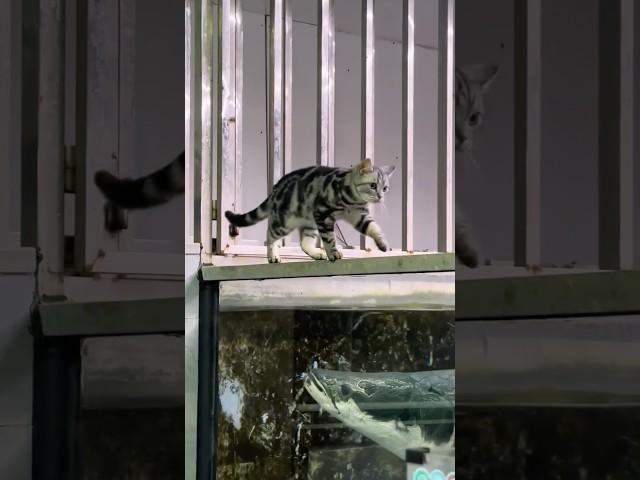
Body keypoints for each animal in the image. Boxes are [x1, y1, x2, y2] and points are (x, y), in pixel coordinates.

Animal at [225, 158, 396, 262]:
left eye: (385, 188)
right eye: (373, 186)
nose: (380, 196)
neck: (352, 201)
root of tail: (275, 188)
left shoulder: (359, 216)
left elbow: (373, 228)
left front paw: (383, 244)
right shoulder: (324, 215)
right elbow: (329, 238)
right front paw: (333, 253)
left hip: (309, 224)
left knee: (304, 243)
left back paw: (316, 253)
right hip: (285, 222)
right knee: (270, 234)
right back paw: (273, 256)